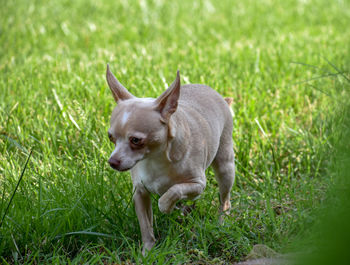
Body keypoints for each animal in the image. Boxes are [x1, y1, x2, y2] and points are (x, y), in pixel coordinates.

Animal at [106, 64, 235, 254]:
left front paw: (166, 206)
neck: (154, 159)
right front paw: (148, 251)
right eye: (111, 137)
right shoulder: (140, 193)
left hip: (225, 167)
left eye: (136, 140)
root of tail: (219, 97)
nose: (112, 162)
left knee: (224, 200)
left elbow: (173, 190)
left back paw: (221, 222)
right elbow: (146, 226)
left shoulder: (197, 184)